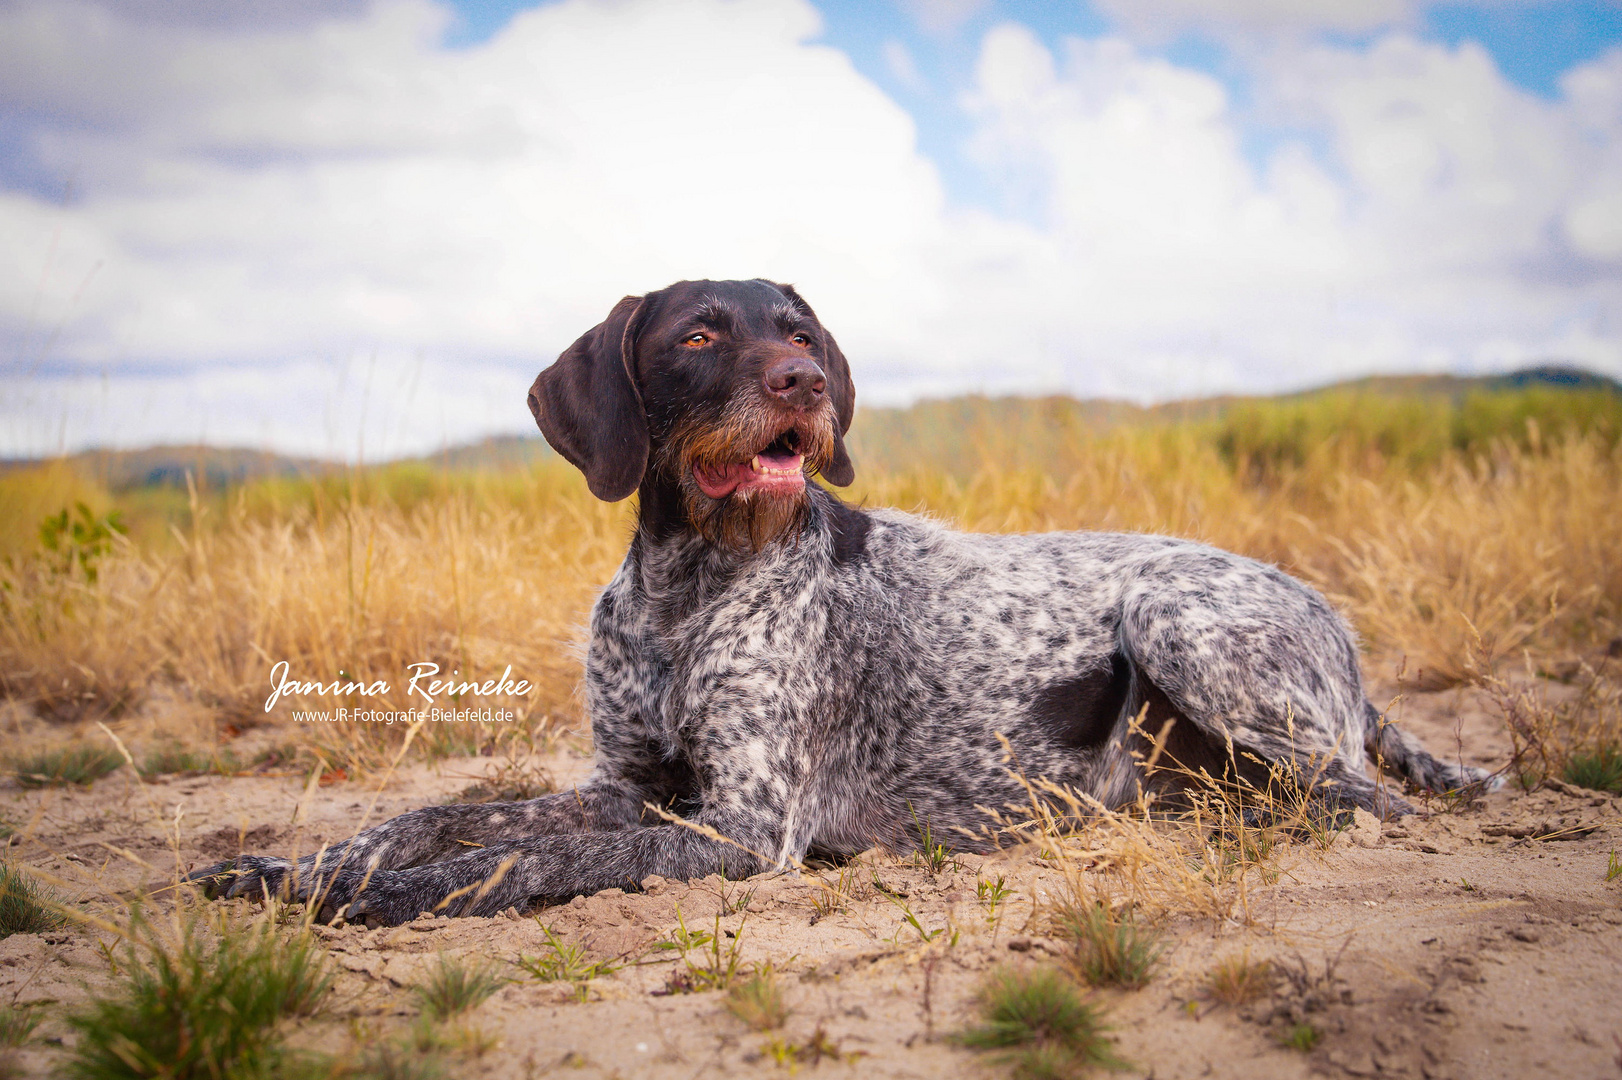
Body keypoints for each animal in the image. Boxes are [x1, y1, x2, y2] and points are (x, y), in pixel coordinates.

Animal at [193, 278, 1492, 927]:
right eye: (699, 334)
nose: (803, 381)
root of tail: (1336, 626)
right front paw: (299, 865)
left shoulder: (739, 826)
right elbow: (450, 816)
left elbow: (512, 863)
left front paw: (370, 894)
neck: (687, 589)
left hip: (1177, 617)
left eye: (801, 332)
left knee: (1363, 804)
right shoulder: (629, 787)